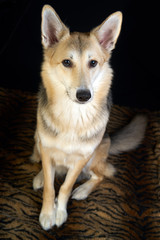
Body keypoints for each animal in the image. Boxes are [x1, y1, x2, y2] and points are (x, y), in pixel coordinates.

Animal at [30, 5, 147, 231]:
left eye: (93, 63)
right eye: (67, 62)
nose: (84, 95)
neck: (73, 116)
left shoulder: (81, 159)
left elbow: (65, 187)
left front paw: (60, 212)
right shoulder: (47, 150)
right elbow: (50, 186)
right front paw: (48, 212)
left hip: (94, 157)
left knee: (102, 174)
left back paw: (83, 189)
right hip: (37, 139)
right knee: (43, 164)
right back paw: (40, 177)